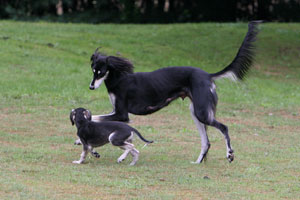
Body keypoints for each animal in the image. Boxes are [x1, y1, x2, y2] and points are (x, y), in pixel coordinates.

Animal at [87, 21, 260, 164]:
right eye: (93, 70)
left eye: (101, 72)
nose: (91, 87)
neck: (119, 78)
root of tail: (207, 75)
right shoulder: (117, 113)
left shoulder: (121, 114)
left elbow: (95, 118)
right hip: (196, 112)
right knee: (206, 142)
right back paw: (198, 162)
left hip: (202, 113)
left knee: (224, 128)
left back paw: (229, 154)